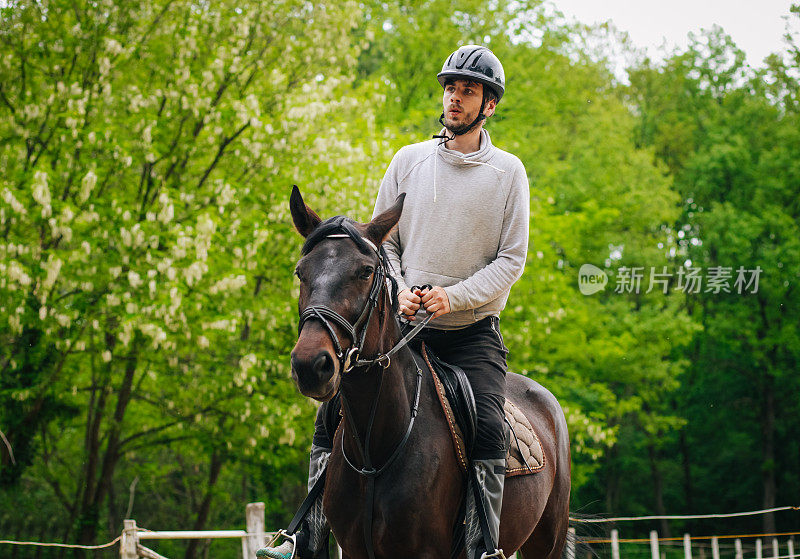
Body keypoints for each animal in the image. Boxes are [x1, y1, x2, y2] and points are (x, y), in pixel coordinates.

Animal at [288, 188, 568, 559]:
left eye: (365, 271)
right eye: (300, 272)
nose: (310, 365)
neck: (376, 451)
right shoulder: (355, 548)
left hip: (548, 539)